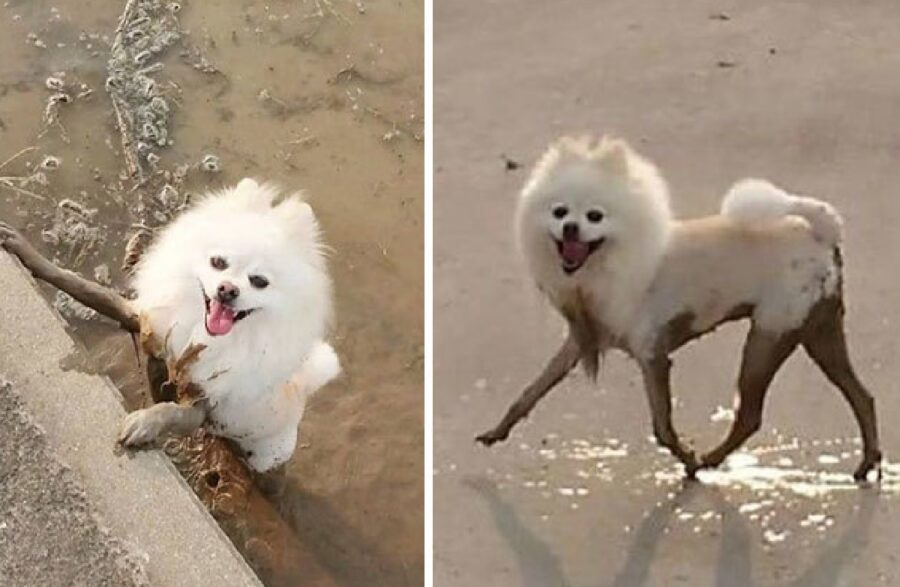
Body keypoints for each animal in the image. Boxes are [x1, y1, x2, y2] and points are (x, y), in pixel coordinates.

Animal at [1, 179, 340, 474]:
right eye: (218, 262)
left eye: (259, 281)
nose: (227, 290)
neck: (199, 331)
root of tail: (301, 391)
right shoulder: (144, 321)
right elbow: (87, 288)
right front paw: (27, 253)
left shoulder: (198, 406)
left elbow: (170, 412)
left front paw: (143, 424)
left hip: (265, 453)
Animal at [478, 138, 880, 482]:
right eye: (559, 212)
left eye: (595, 216)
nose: (570, 228)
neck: (608, 264)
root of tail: (822, 233)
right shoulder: (579, 343)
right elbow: (532, 391)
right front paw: (498, 431)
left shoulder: (653, 358)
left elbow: (663, 428)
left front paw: (685, 456)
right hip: (818, 332)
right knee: (862, 397)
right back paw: (867, 462)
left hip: (769, 336)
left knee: (749, 416)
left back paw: (706, 461)